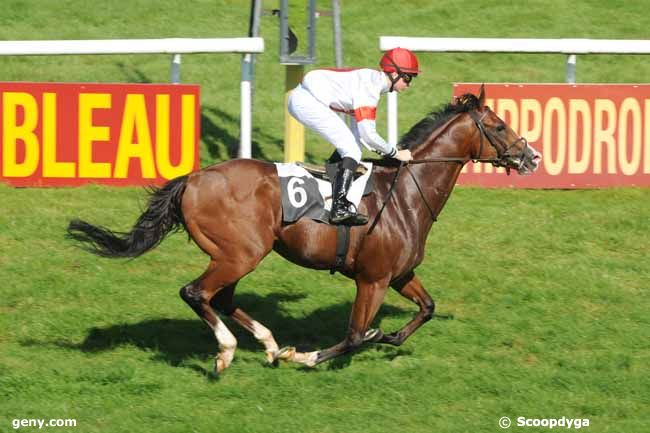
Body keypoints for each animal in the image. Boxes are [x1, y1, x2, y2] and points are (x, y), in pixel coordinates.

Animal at [67, 85, 540, 374]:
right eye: (499, 126)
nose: (531, 156)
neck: (406, 192)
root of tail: (195, 178)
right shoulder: (373, 279)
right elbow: (353, 336)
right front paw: (308, 356)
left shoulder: (399, 274)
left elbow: (426, 309)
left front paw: (387, 334)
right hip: (242, 252)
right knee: (196, 293)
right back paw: (230, 351)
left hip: (235, 255)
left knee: (222, 297)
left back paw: (270, 344)